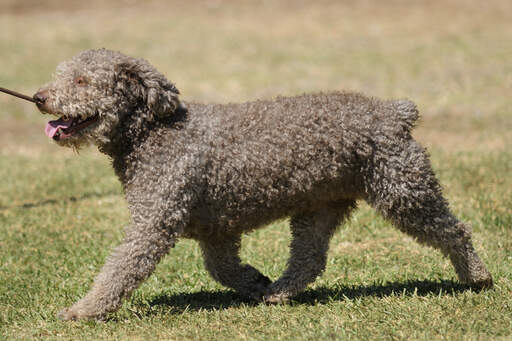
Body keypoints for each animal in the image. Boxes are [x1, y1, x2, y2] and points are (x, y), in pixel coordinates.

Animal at [33, 48, 492, 318]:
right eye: (61, 76)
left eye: (81, 81)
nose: (39, 97)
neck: (153, 132)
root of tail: (396, 112)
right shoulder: (215, 229)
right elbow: (221, 268)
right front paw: (255, 282)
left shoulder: (155, 223)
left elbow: (121, 268)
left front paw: (84, 310)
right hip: (319, 208)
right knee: (309, 259)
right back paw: (279, 293)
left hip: (402, 190)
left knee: (455, 230)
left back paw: (478, 277)